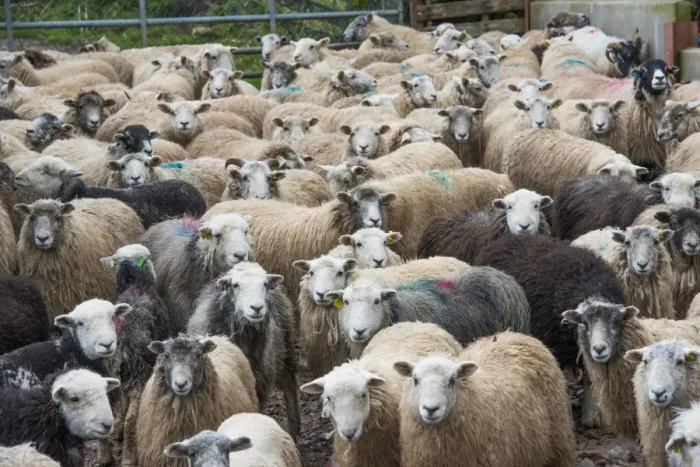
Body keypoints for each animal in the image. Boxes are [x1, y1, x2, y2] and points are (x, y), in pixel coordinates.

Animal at [187, 262, 299, 439]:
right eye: (235, 285)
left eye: (264, 284)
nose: (257, 308)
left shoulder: (259, 384)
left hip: (286, 347)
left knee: (289, 384)